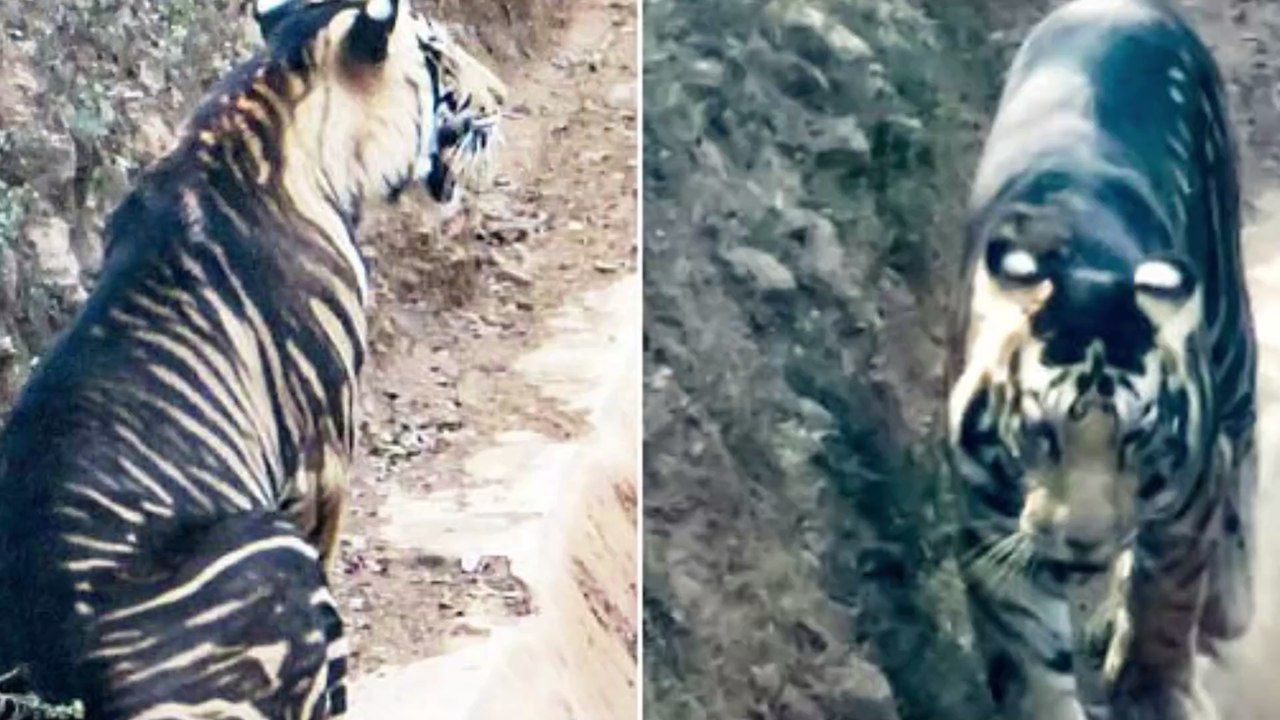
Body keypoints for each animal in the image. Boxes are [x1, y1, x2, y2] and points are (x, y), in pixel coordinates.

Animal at [945, 1, 1256, 719]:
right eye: (1041, 434)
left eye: (1136, 438)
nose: (1084, 541)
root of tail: (1123, 6)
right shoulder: (993, 540)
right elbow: (1032, 665)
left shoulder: (1189, 500)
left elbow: (1165, 601)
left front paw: (1154, 692)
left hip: (1230, 332)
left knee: (1245, 437)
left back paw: (1232, 600)